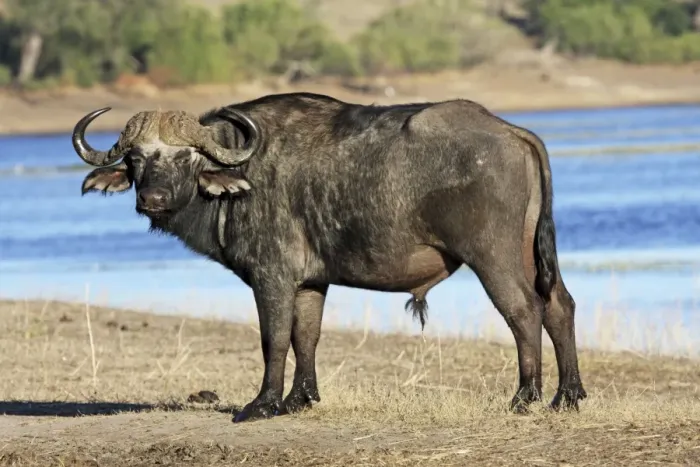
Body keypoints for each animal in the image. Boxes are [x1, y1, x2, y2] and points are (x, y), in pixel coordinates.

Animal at [71, 92, 586, 423]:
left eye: (184, 157)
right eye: (136, 158)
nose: (152, 199)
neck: (241, 173)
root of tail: (512, 131)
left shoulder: (273, 276)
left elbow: (274, 338)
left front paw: (263, 404)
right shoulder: (310, 282)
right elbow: (307, 336)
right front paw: (301, 398)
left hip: (493, 257)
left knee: (523, 311)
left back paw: (525, 397)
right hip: (529, 255)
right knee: (559, 305)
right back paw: (568, 395)